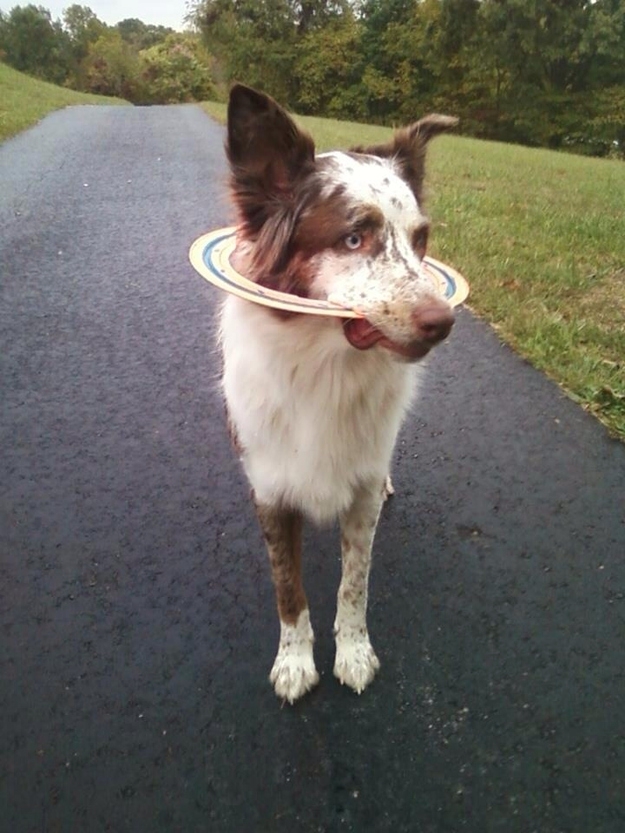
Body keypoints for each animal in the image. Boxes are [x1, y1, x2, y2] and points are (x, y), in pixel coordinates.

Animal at [219, 83, 458, 704]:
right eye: (354, 238)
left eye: (420, 241)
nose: (444, 323)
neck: (326, 366)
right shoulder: (272, 492)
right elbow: (289, 589)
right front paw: (295, 661)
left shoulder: (362, 494)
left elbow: (355, 584)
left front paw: (353, 652)